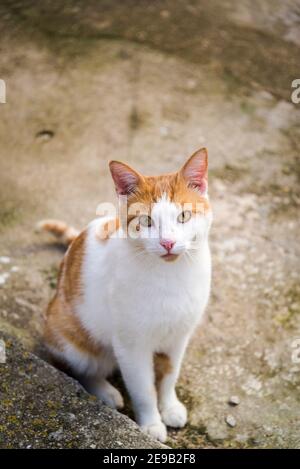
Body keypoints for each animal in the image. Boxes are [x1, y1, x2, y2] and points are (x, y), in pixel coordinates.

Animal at [39, 148, 213, 440]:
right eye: (146, 221)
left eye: (184, 217)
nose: (167, 242)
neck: (171, 276)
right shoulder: (131, 346)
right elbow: (144, 389)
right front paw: (151, 424)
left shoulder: (178, 336)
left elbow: (169, 375)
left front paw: (170, 407)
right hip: (71, 338)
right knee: (82, 369)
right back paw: (105, 392)